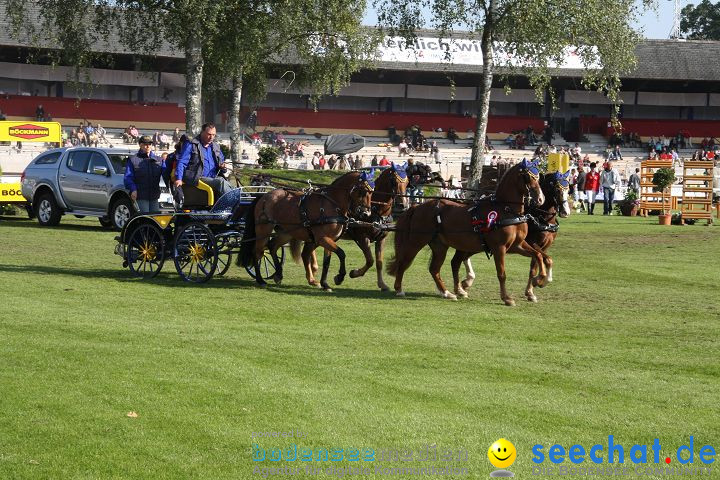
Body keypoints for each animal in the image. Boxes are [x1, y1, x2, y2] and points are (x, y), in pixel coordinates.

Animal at [239, 172, 374, 288]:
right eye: (362, 192)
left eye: (372, 193)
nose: (366, 214)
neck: (331, 203)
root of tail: (265, 195)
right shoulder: (322, 238)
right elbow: (341, 253)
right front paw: (339, 277)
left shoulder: (329, 239)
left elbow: (327, 262)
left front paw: (325, 284)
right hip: (263, 230)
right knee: (258, 252)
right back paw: (260, 279)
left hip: (287, 232)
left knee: (272, 246)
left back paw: (278, 274)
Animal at [388, 159, 544, 306]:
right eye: (528, 176)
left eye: (538, 176)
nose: (540, 199)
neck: (505, 209)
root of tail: (417, 207)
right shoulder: (499, 248)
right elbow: (502, 273)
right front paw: (507, 298)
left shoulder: (516, 245)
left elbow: (538, 255)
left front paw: (540, 280)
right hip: (416, 241)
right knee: (403, 262)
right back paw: (399, 289)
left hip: (440, 246)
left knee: (434, 269)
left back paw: (447, 293)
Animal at [450, 171, 572, 302]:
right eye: (557, 188)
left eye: (568, 188)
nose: (565, 212)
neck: (542, 218)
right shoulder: (533, 243)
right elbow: (546, 261)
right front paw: (536, 285)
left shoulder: (543, 247)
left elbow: (538, 265)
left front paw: (532, 289)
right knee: (461, 258)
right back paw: (465, 283)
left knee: (464, 257)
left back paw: (466, 282)